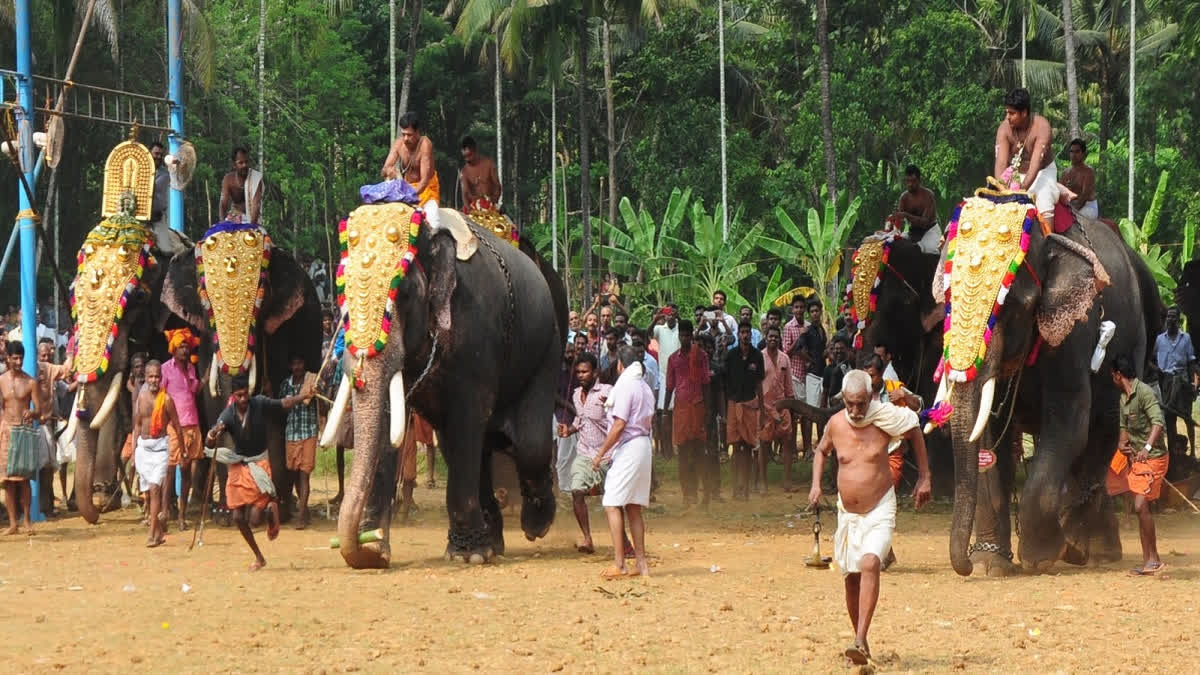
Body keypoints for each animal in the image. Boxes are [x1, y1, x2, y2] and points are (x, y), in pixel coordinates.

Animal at [163, 218, 328, 516]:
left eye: (263, 294)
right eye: (204, 300)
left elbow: (274, 407)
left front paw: (273, 507)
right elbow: (214, 401)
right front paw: (228, 513)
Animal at [321, 204, 568, 566]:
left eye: (403, 293)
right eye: (342, 299)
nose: (364, 544)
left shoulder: (477, 333)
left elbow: (468, 418)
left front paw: (468, 557)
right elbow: (392, 425)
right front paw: (375, 550)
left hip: (547, 346)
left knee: (529, 444)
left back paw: (535, 525)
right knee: (475, 446)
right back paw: (494, 542)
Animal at [926, 192, 1161, 576]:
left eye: (1012, 306)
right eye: (946, 302)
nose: (965, 566)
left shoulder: (1074, 331)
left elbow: (1069, 422)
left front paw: (1041, 558)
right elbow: (988, 437)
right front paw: (991, 564)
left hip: (1134, 340)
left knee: (1104, 429)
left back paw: (1083, 549)